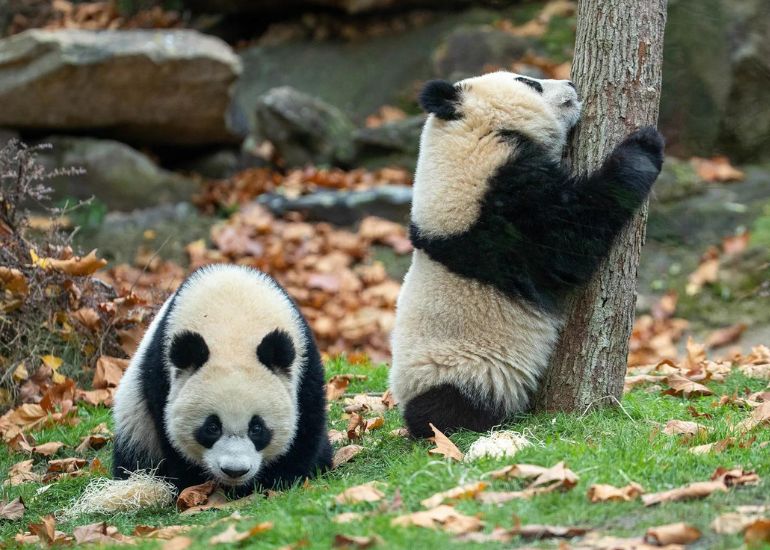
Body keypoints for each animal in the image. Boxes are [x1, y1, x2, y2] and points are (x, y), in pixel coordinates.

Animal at [111, 266, 330, 498]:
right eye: (212, 427)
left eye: (257, 428)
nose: (235, 471)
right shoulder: (160, 373)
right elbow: (169, 435)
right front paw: (192, 482)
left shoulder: (305, 362)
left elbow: (305, 426)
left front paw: (279, 479)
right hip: (136, 424)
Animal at [390, 70, 660, 440]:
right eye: (528, 81)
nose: (572, 85)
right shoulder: (494, 206)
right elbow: (570, 234)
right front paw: (644, 147)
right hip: (462, 369)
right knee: (452, 406)